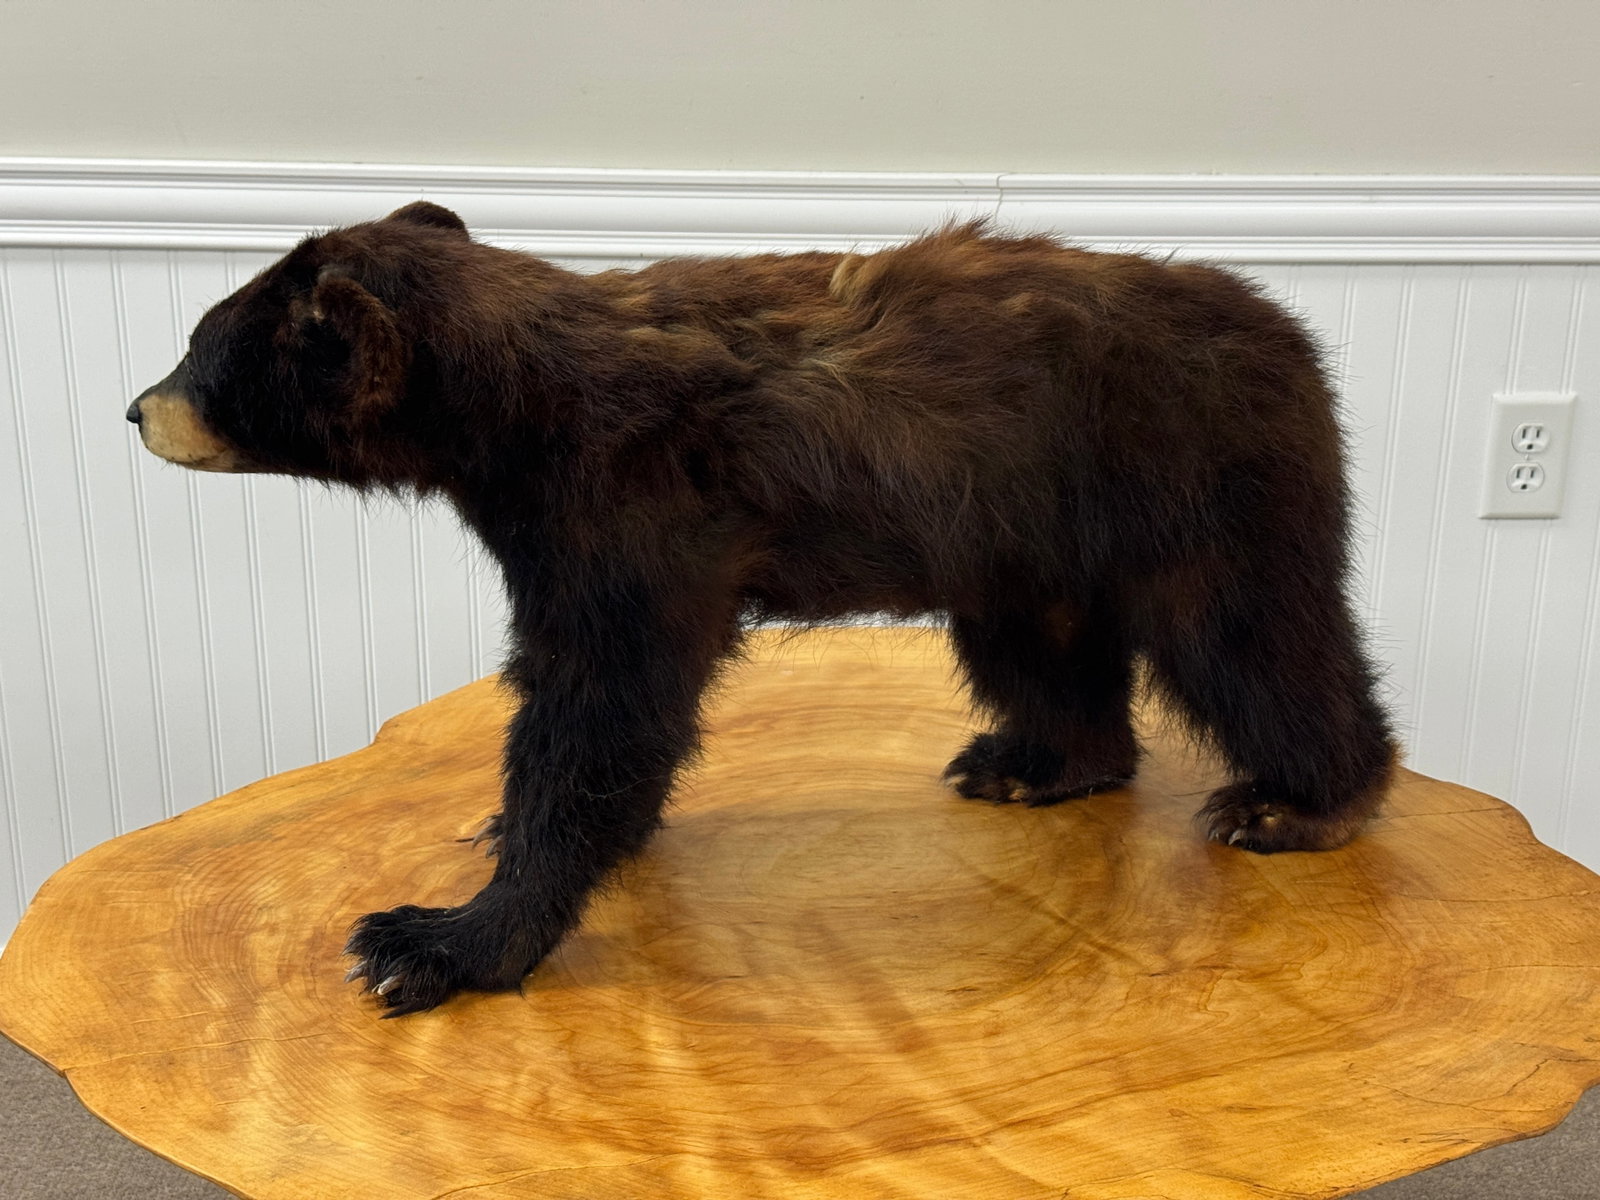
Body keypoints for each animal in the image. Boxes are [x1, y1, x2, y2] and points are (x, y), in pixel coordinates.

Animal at [127, 202, 1396, 1016]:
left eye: (199, 345)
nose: (136, 409)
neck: (518, 403)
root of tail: (1296, 338)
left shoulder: (626, 505)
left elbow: (599, 704)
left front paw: (435, 942)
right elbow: (608, 725)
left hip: (1197, 483)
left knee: (1251, 637)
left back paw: (1298, 802)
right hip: (1022, 540)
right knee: (1041, 653)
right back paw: (1032, 762)